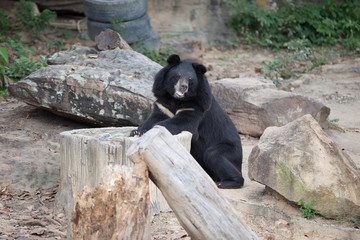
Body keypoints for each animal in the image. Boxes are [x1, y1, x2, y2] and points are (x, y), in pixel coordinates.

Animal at [130, 54, 245, 189]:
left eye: (190, 79)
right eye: (178, 75)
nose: (183, 87)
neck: (176, 99)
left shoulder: (196, 107)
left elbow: (183, 123)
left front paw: (153, 129)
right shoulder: (163, 105)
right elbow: (153, 118)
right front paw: (136, 131)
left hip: (230, 150)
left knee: (214, 154)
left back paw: (224, 182)